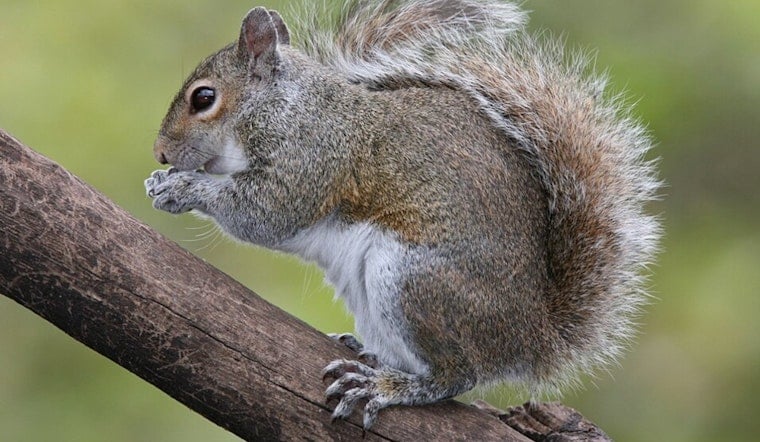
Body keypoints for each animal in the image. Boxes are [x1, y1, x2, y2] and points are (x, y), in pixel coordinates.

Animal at [144, 0, 660, 430]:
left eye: (203, 98)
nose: (161, 153)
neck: (284, 108)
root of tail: (533, 336)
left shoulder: (311, 160)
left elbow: (265, 213)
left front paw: (181, 188)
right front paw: (161, 182)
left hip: (412, 281)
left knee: (456, 375)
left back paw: (388, 386)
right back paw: (368, 353)